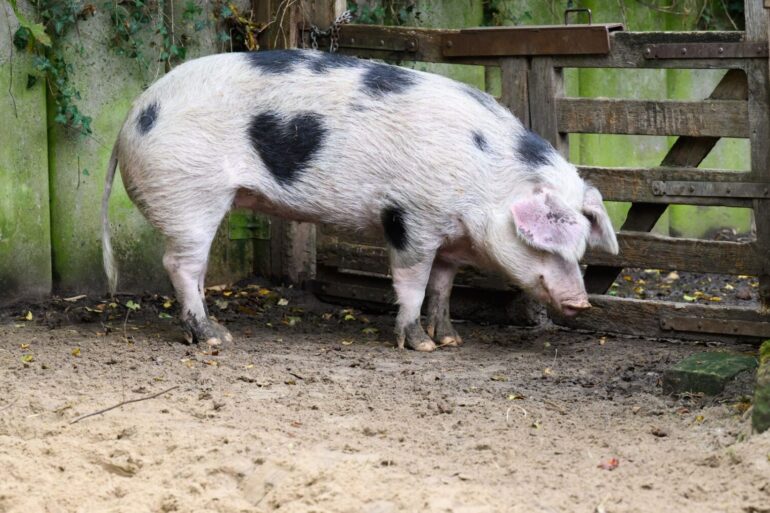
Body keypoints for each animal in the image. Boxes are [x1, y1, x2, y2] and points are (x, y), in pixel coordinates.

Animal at [101, 49, 619, 351]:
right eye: (544, 245)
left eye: (580, 249)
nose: (581, 302)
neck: (485, 177)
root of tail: (131, 118)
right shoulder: (411, 217)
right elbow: (412, 283)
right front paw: (421, 346)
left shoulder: (449, 238)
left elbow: (442, 286)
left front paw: (451, 340)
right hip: (189, 194)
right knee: (180, 265)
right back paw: (214, 339)